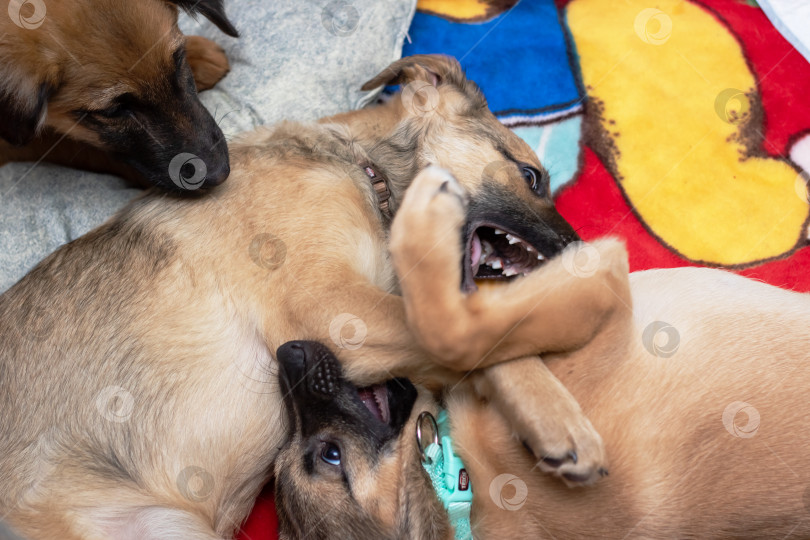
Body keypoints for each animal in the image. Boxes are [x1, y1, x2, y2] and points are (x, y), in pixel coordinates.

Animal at [0, 56, 612, 540]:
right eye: (532, 177)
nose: (582, 253)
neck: (366, 170)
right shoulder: (335, 308)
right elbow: (477, 330)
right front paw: (561, 402)